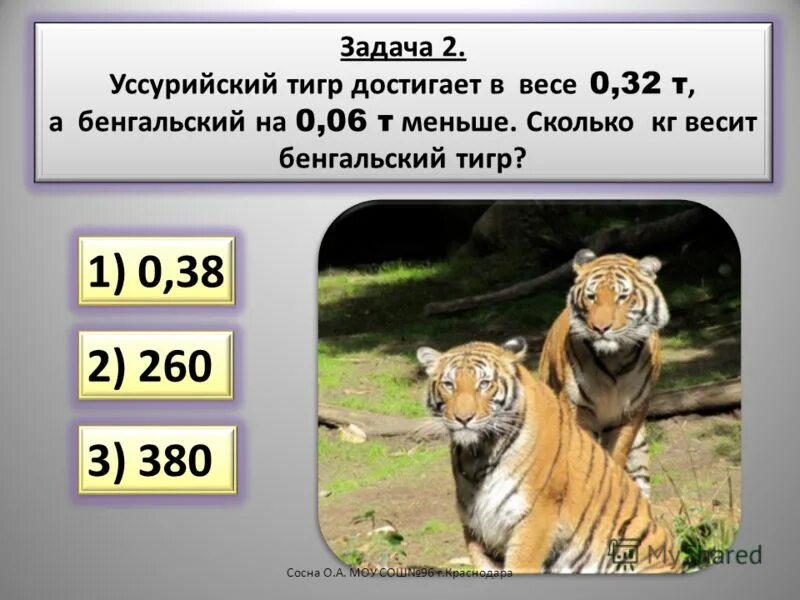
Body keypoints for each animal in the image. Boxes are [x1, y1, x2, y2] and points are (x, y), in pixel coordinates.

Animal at [416, 338, 680, 574]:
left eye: (484, 384)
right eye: (449, 384)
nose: (463, 418)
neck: (479, 454)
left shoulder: (535, 517)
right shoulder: (476, 529)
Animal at [538, 249, 670, 497]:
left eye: (622, 297)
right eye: (591, 297)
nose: (600, 328)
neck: (615, 358)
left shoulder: (632, 411)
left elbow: (617, 453)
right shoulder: (576, 407)